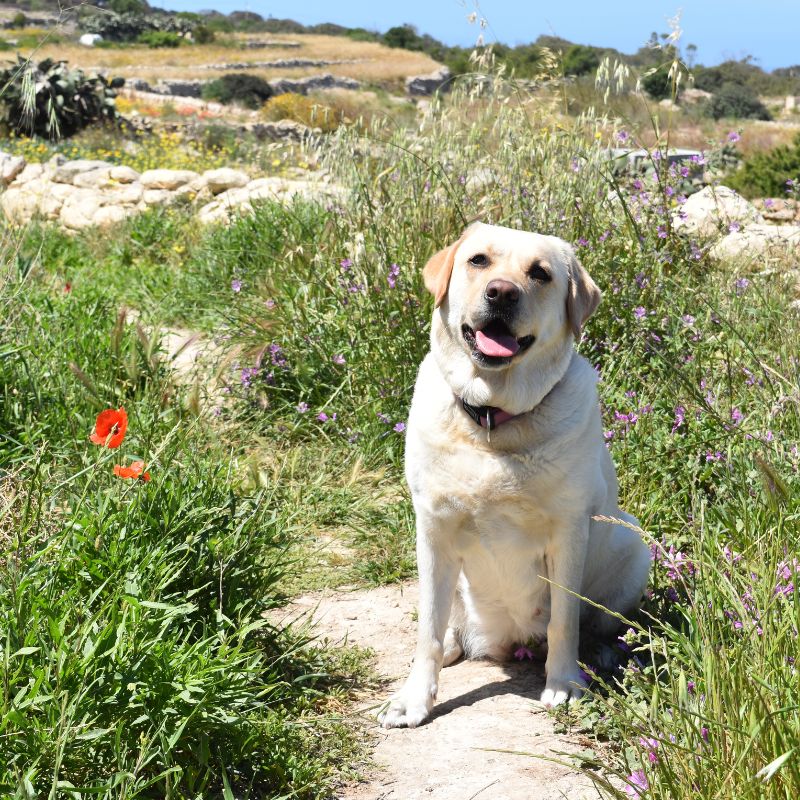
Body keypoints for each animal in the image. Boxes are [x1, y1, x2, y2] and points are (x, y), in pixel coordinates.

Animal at [380, 222, 648, 728]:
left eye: (539, 273)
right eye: (478, 260)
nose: (502, 292)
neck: (492, 421)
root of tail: (510, 642)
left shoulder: (567, 531)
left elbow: (564, 621)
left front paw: (563, 684)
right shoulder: (433, 527)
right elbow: (427, 628)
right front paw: (414, 699)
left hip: (633, 542)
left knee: (596, 625)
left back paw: (602, 654)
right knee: (445, 623)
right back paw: (453, 645)